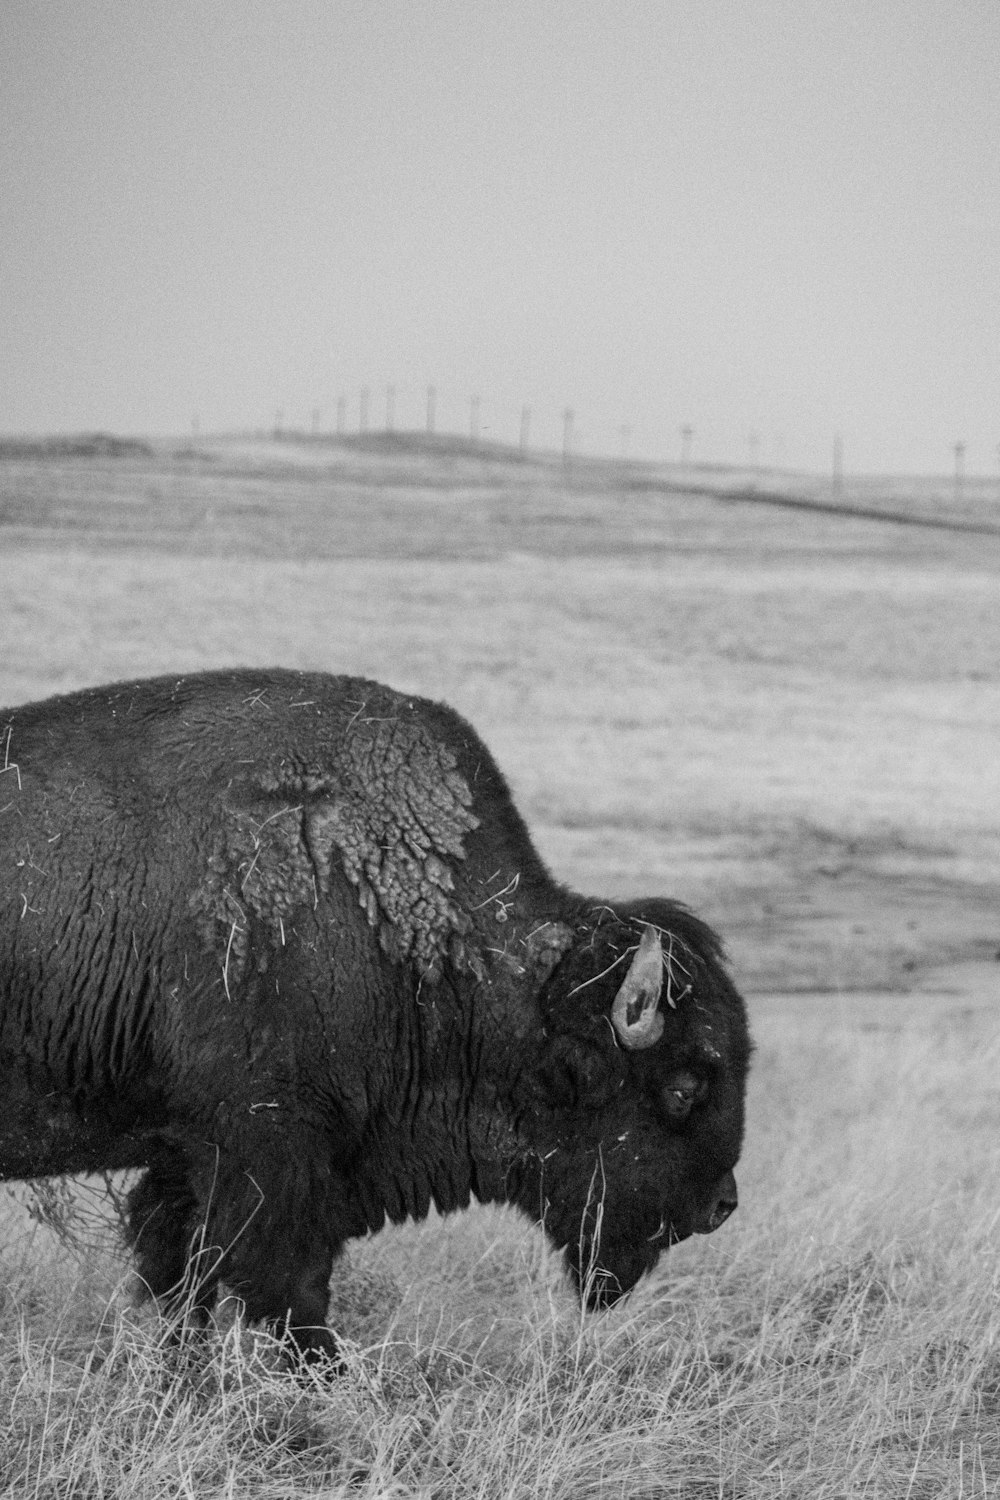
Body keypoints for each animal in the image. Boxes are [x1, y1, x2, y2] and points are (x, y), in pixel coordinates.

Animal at [1, 675, 749, 1368]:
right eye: (682, 1087)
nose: (722, 1206)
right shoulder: (270, 1150)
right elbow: (289, 1286)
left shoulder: (190, 1159)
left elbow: (186, 1277)